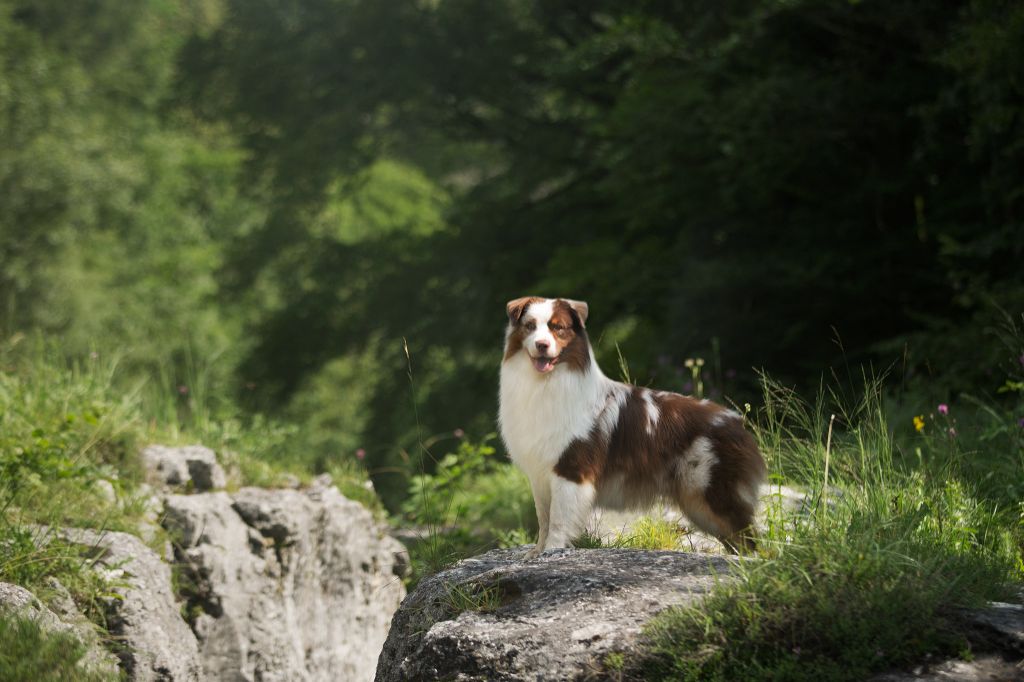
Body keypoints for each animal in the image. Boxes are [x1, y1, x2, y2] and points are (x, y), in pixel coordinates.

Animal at [495, 294, 770, 557]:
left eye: (558, 328)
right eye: (530, 326)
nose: (542, 345)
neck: (546, 383)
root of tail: (738, 423)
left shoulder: (570, 468)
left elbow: (559, 520)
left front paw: (552, 551)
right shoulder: (540, 473)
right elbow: (544, 518)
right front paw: (535, 554)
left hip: (713, 493)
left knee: (749, 539)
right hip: (698, 504)